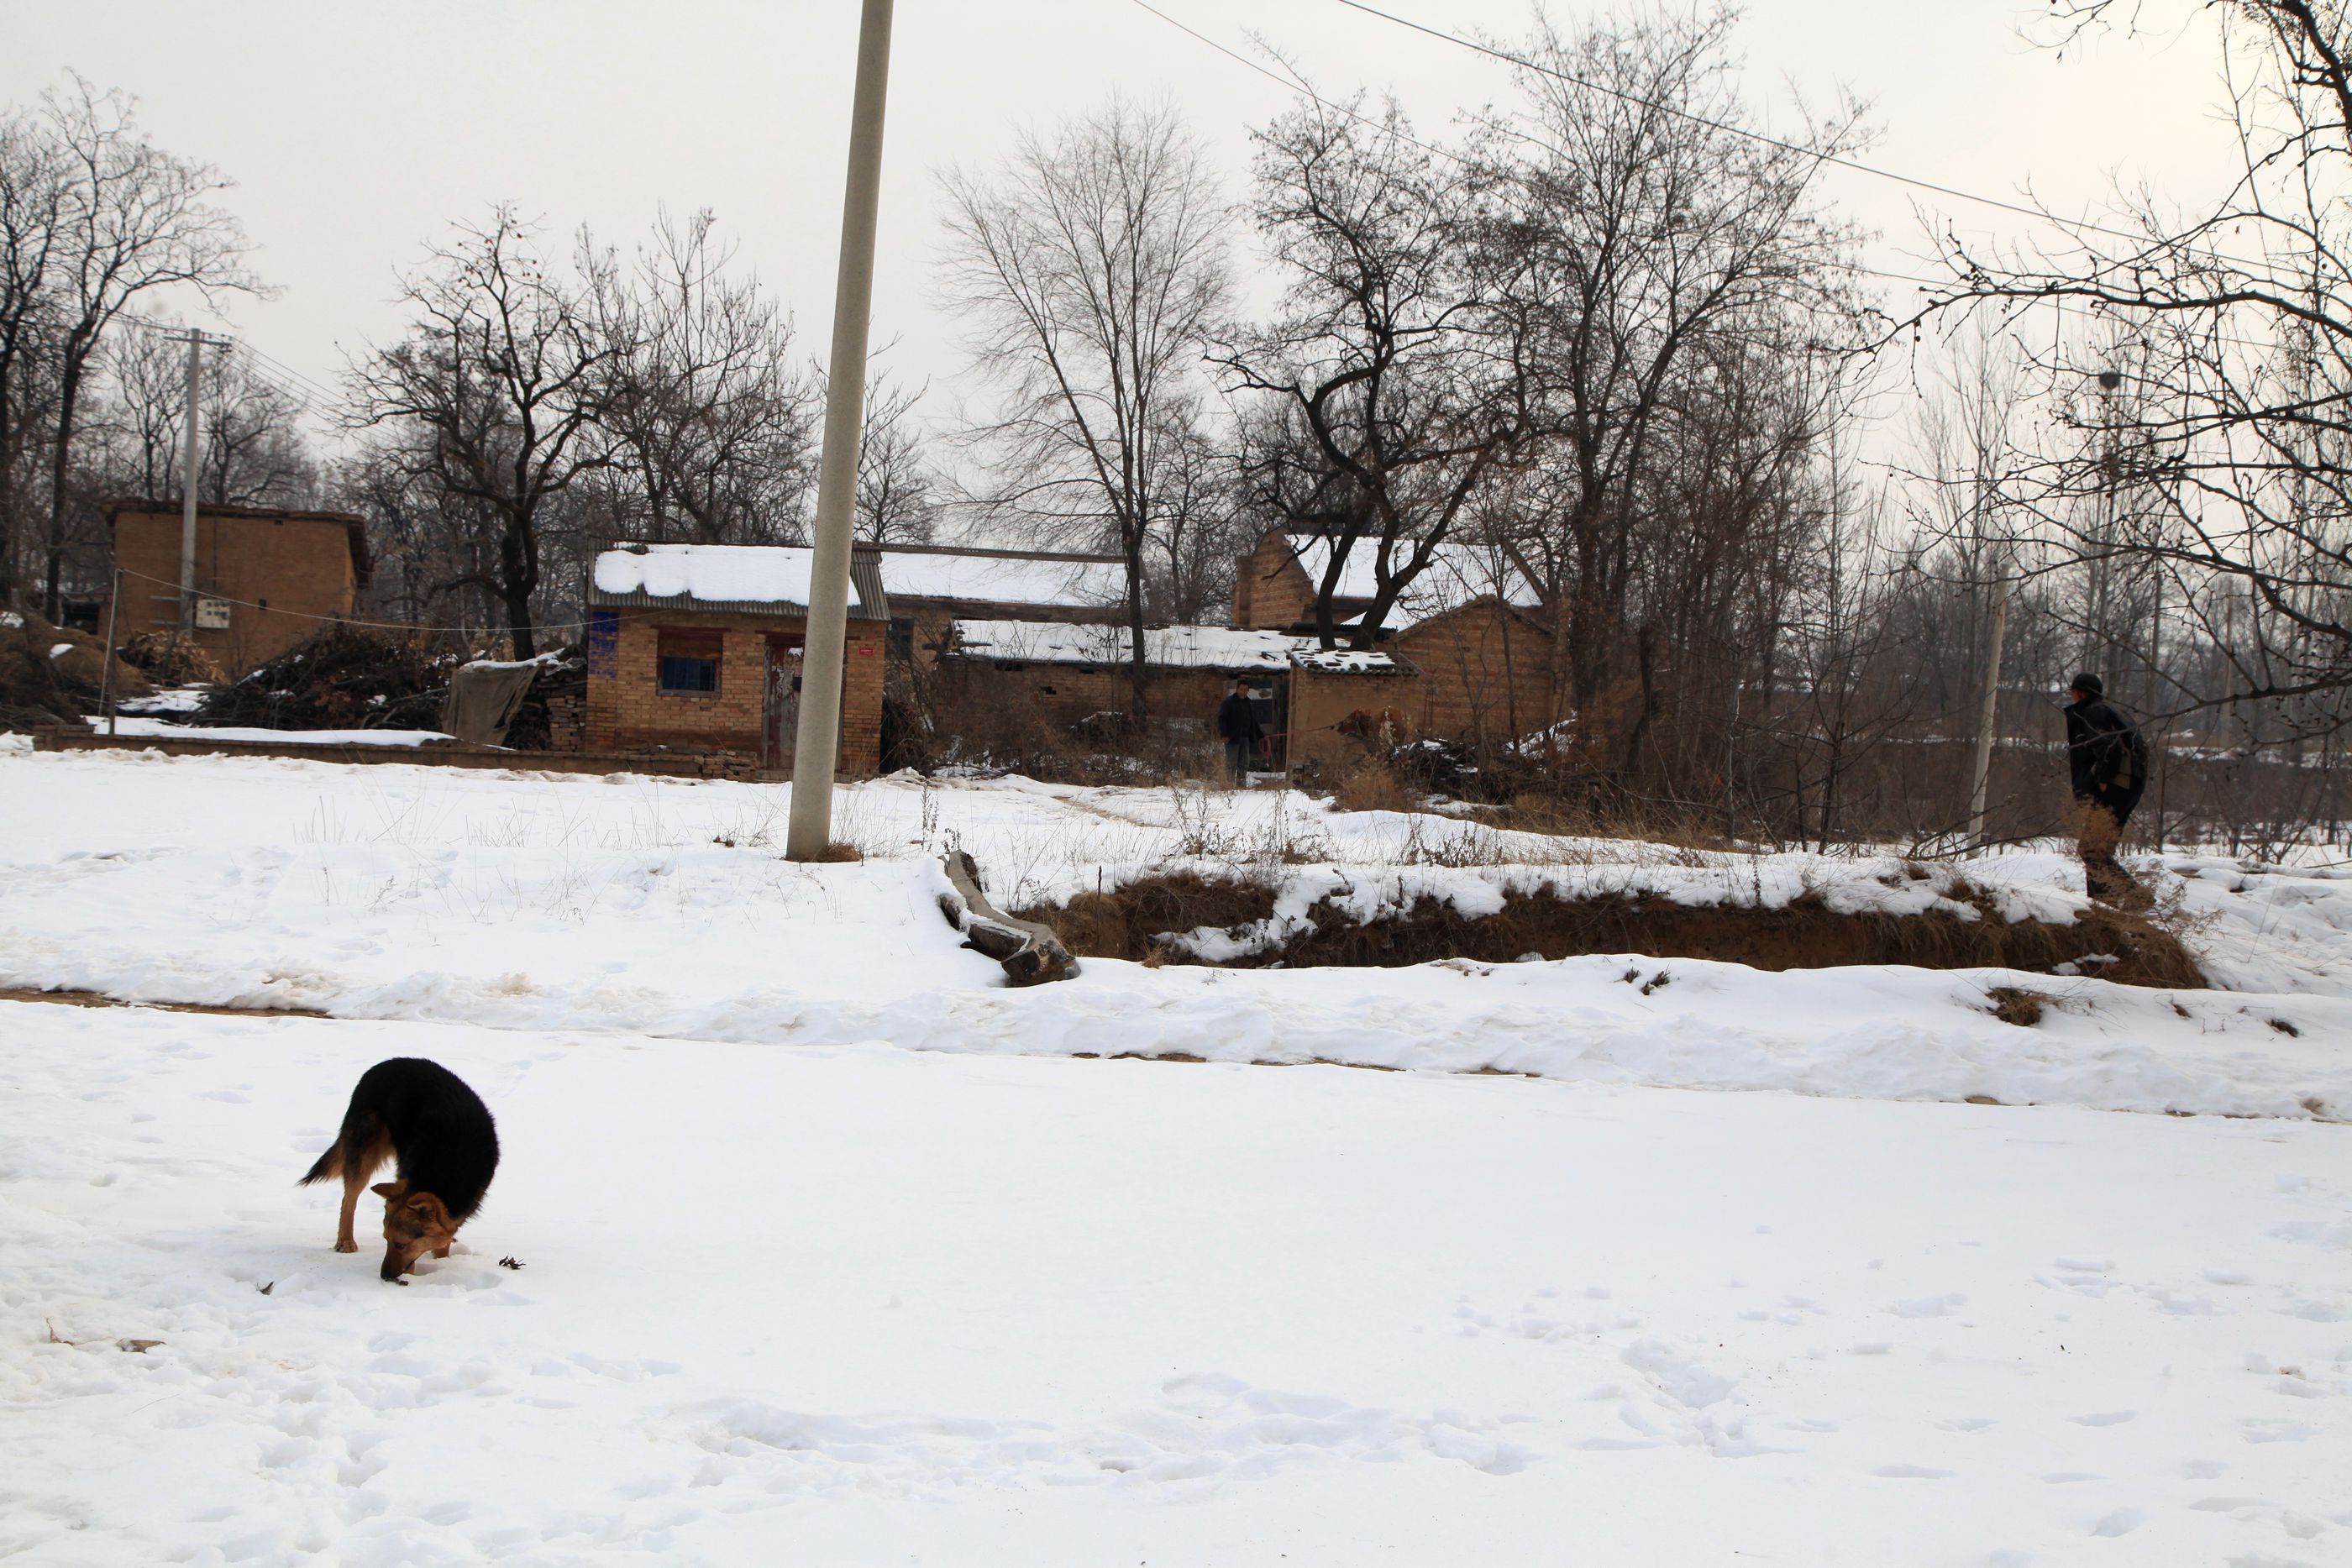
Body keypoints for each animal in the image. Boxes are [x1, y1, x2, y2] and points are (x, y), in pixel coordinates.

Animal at [301, 1062, 498, 1278]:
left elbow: (443, 1240)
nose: (385, 1277)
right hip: (364, 1152)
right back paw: (345, 1241)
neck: (449, 1164)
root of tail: (383, 1064)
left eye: (401, 1245)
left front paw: (441, 1263)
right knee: (348, 1200)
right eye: (386, 1239)